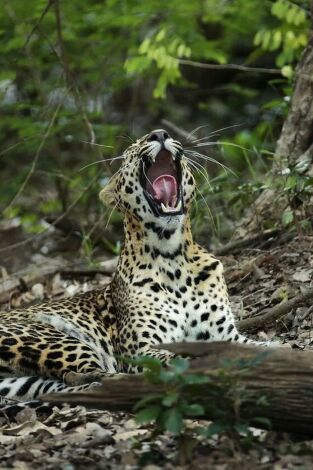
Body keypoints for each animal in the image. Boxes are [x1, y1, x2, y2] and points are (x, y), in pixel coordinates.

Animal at [0, 129, 274, 404]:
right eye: (132, 149)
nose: (160, 133)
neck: (173, 257)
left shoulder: (227, 335)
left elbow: (263, 346)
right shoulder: (140, 351)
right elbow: (178, 358)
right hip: (52, 337)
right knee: (87, 376)